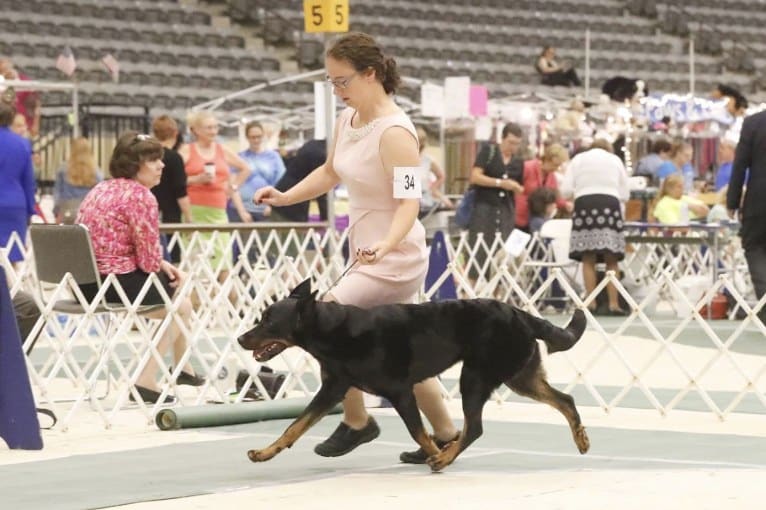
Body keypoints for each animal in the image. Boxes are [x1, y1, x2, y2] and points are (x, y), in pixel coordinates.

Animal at [237, 280, 592, 472]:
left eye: (268, 321)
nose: (241, 338)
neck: (333, 330)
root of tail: (522, 314)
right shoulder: (333, 388)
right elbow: (295, 427)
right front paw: (264, 453)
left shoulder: (400, 391)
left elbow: (418, 432)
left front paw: (435, 454)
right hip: (520, 376)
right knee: (565, 399)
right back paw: (581, 438)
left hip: (475, 376)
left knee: (474, 428)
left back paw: (445, 458)